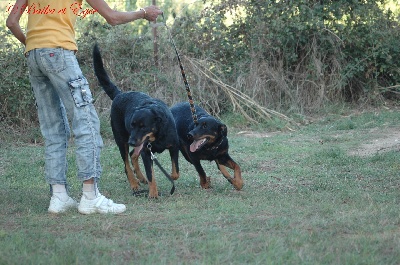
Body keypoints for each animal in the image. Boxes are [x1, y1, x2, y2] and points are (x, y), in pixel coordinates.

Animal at [93, 43, 179, 197]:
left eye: (143, 126)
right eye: (131, 125)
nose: (132, 141)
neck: (157, 135)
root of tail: (119, 94)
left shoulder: (174, 146)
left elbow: (175, 173)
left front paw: (168, 177)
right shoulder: (146, 152)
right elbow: (151, 174)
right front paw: (153, 193)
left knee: (133, 155)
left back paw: (140, 177)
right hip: (121, 140)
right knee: (127, 164)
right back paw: (134, 183)